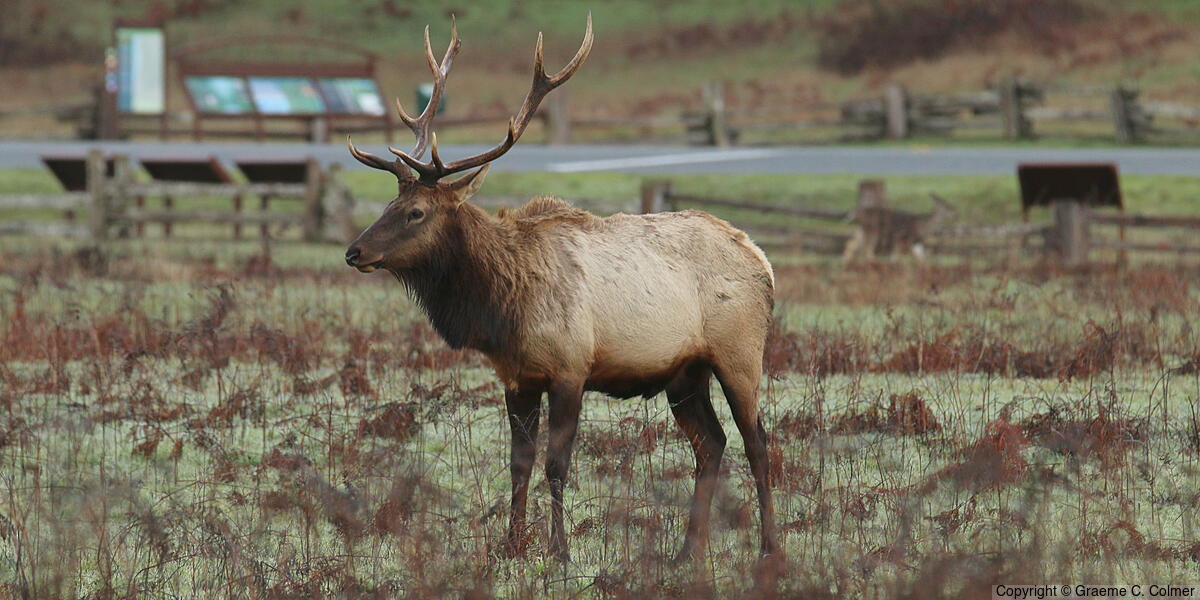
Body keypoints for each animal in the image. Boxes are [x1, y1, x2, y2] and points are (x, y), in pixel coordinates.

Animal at [342, 15, 778, 563]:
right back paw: (686, 552)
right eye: (388, 204)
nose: (354, 251)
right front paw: (511, 544)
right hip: (684, 373)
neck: (502, 309)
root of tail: (761, 258)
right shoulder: (517, 377)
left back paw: (769, 549)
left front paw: (559, 552)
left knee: (757, 443)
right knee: (712, 445)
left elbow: (556, 465)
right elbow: (519, 463)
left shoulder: (571, 368)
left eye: (415, 212)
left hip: (740, 352)